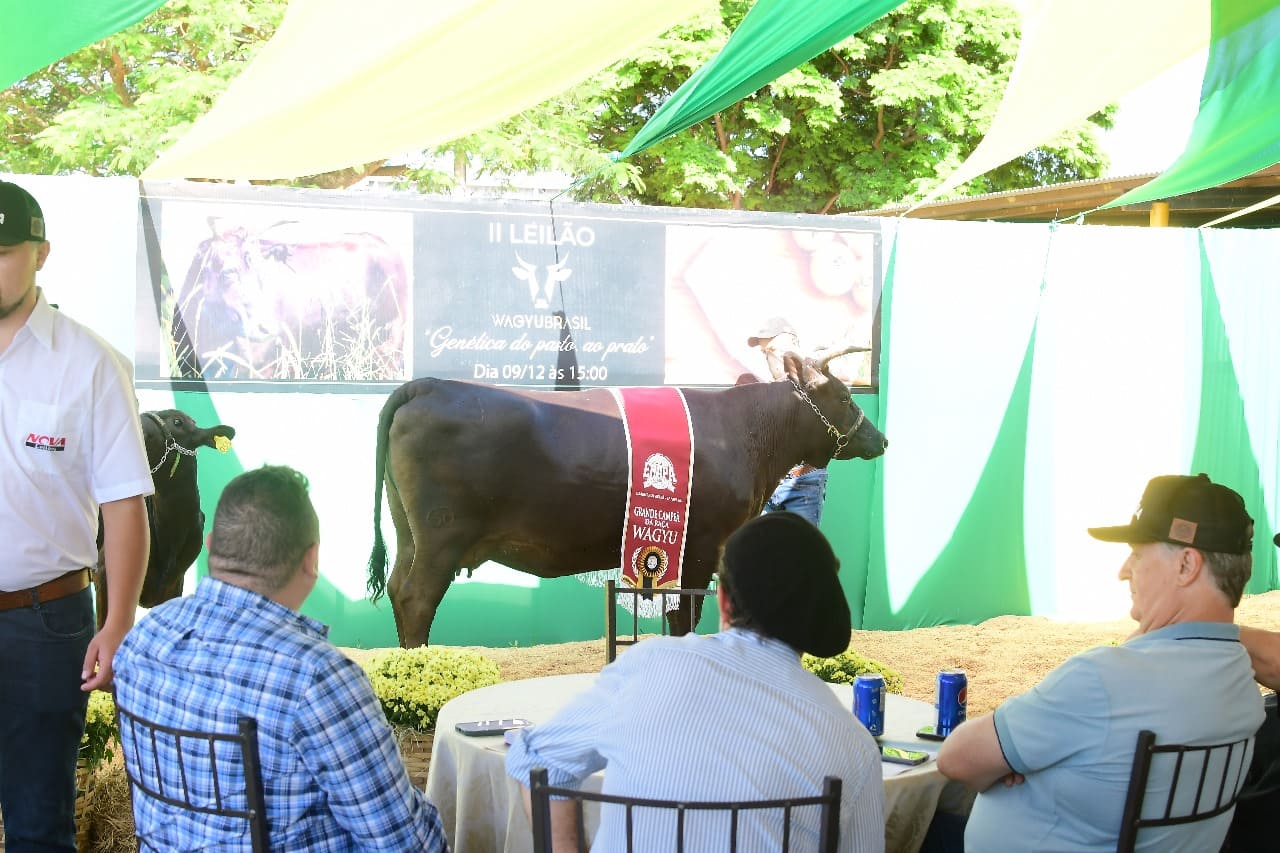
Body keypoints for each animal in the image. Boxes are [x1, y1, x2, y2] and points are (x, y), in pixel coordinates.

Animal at [366, 345, 885, 645]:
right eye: (844, 396)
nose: (880, 439)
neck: (751, 434)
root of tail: (429, 385)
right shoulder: (701, 543)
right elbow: (686, 613)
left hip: (408, 530)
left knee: (396, 587)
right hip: (443, 533)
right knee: (416, 597)